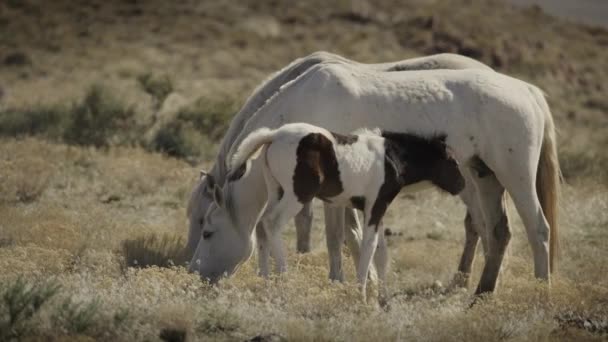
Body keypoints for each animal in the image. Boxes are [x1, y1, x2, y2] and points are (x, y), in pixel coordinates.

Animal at [207, 123, 464, 296]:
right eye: (451, 160)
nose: (461, 185)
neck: (390, 157)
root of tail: (274, 135)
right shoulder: (375, 206)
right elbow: (368, 246)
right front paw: (362, 293)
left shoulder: (375, 209)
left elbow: (381, 253)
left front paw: (384, 299)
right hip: (297, 196)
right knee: (272, 223)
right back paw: (283, 277)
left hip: (276, 191)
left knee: (261, 226)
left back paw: (265, 278)